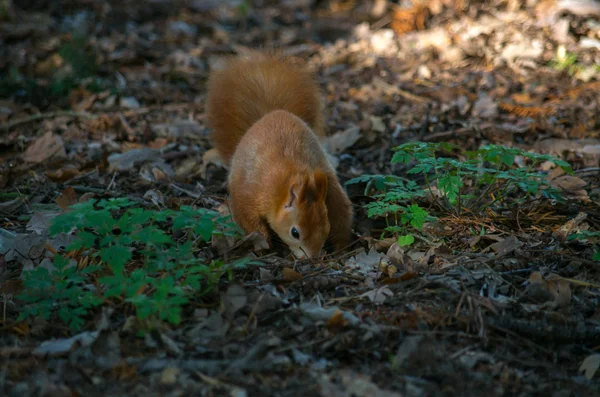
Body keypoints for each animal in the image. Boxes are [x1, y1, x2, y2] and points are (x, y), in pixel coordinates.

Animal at [206, 51, 354, 256]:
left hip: (332, 186)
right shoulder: (249, 193)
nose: (313, 257)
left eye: (326, 227)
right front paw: (264, 243)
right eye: (295, 233)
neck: (283, 184)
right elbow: (249, 220)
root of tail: (271, 113)